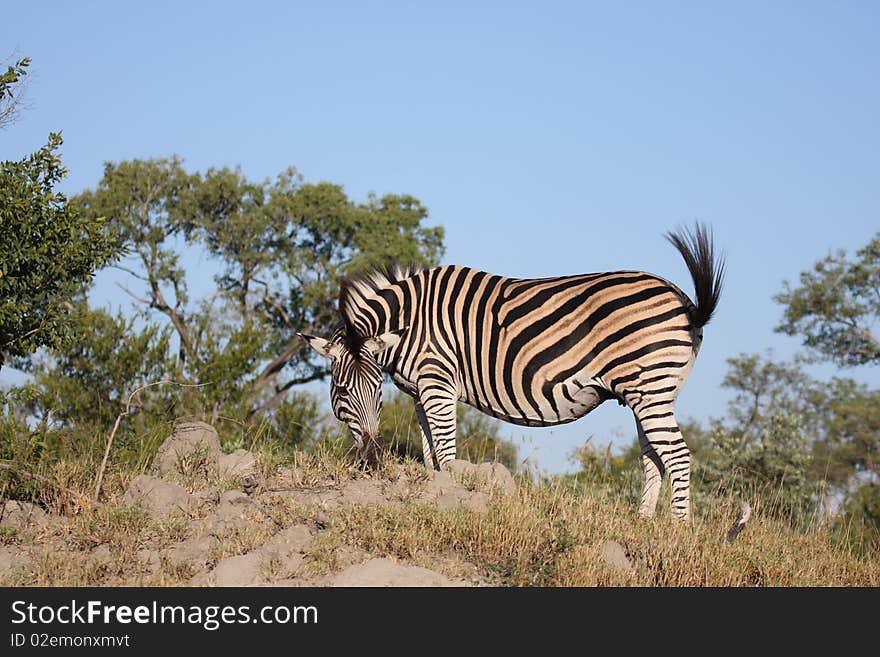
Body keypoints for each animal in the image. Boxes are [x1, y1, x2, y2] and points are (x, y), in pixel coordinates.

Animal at [300, 223, 724, 520]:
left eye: (374, 390)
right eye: (344, 390)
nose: (372, 461)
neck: (411, 324)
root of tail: (686, 301)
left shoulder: (438, 382)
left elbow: (446, 451)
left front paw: (451, 497)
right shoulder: (421, 390)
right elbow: (429, 451)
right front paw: (436, 489)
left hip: (650, 388)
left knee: (678, 456)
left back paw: (677, 531)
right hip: (647, 392)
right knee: (655, 458)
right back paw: (643, 523)